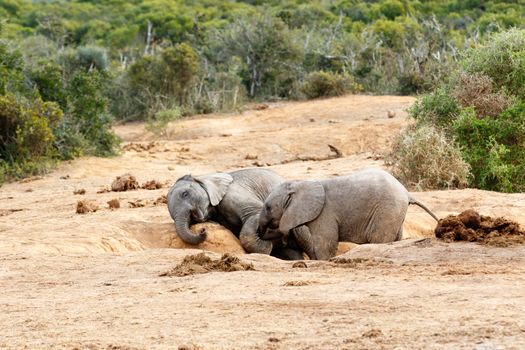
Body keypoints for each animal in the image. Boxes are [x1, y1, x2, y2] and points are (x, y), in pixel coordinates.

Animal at [258, 167, 438, 260]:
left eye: (268, 207)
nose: (261, 233)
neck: (302, 183)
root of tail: (407, 193)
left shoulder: (324, 213)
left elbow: (325, 244)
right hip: (395, 211)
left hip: (387, 208)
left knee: (379, 238)